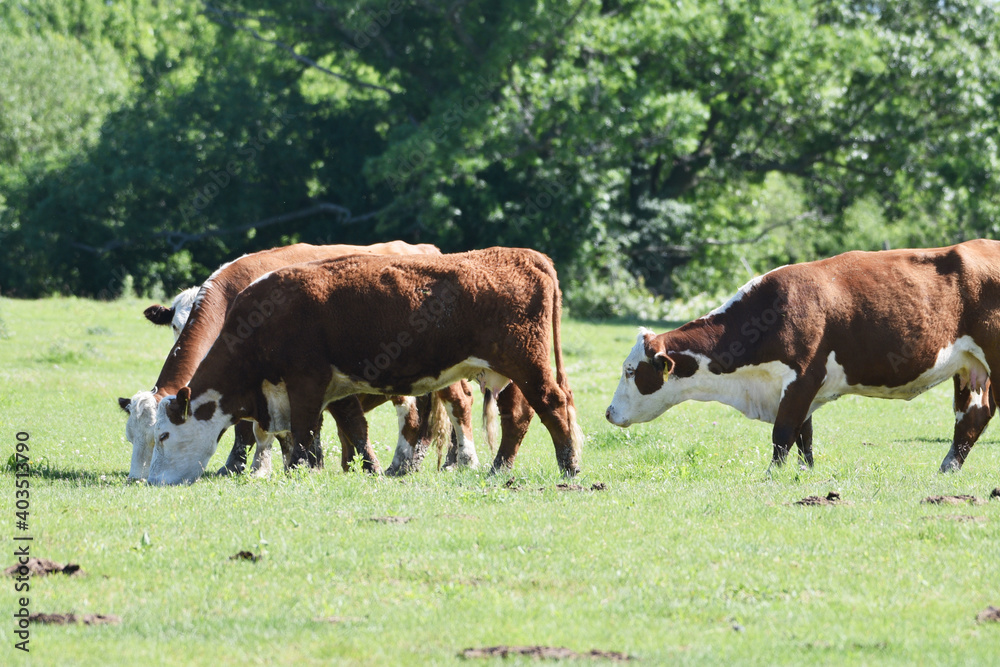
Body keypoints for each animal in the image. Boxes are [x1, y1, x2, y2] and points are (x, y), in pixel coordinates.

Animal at [117, 240, 476, 480]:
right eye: (174, 325)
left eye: (160, 437)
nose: (138, 478)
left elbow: (259, 429)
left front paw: (250, 467)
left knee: (450, 405)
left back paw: (445, 461)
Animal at [150, 247, 584, 486]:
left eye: (164, 436)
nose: (149, 480)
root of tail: (525, 256)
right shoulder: (318, 389)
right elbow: (332, 430)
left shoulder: (305, 381)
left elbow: (304, 431)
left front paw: (300, 471)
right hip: (509, 372)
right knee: (519, 415)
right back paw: (498, 468)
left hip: (526, 363)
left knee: (552, 404)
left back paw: (570, 466)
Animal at [608, 240, 1000, 474]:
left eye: (629, 371)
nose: (609, 413)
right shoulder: (802, 388)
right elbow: (804, 435)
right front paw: (805, 473)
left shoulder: (801, 378)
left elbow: (783, 432)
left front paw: (772, 476)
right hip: (970, 367)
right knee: (972, 417)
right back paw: (948, 467)